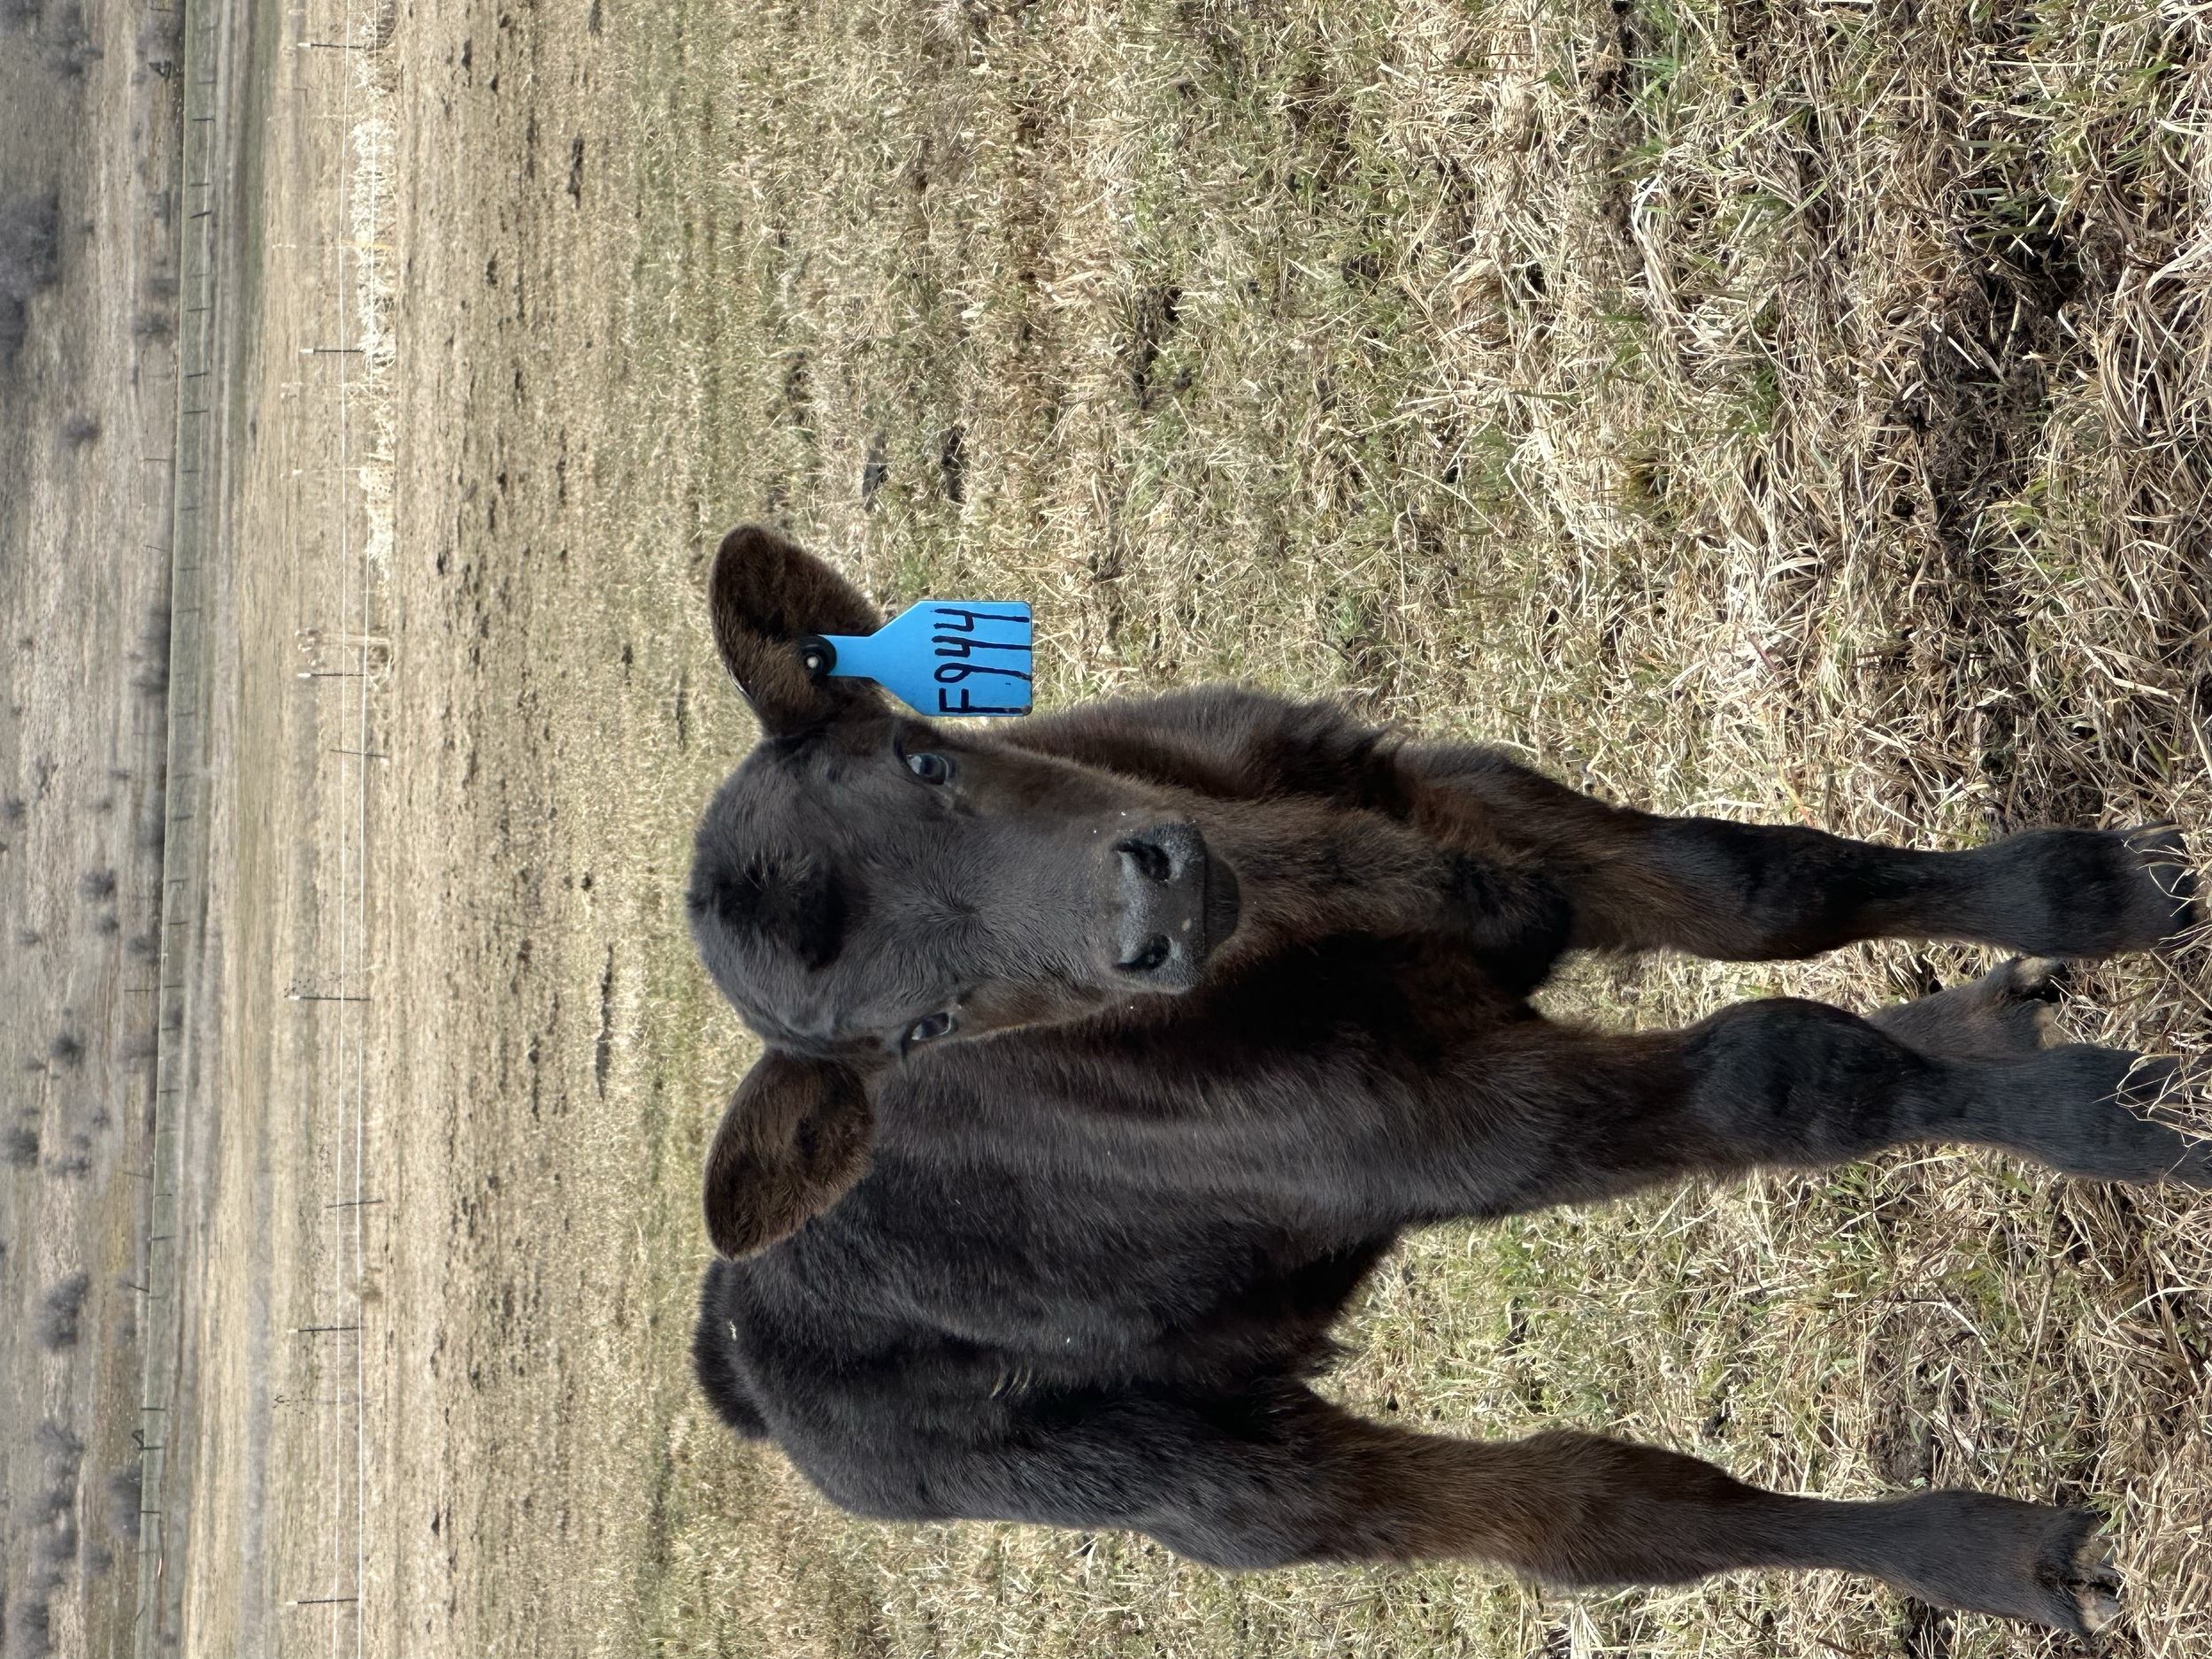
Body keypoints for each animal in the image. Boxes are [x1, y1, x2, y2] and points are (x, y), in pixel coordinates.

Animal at [686, 525, 2203, 1636]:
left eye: (925, 754)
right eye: (919, 1028)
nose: (1147, 907)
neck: (1314, 899)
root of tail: (735, 1346)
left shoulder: (1471, 806)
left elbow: (1764, 886)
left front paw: (2103, 890)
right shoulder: (1478, 1124)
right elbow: (1784, 1069)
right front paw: (2129, 1118)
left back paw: (1986, 1023)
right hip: (1171, 1475)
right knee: (1585, 1512)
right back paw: (1999, 1554)